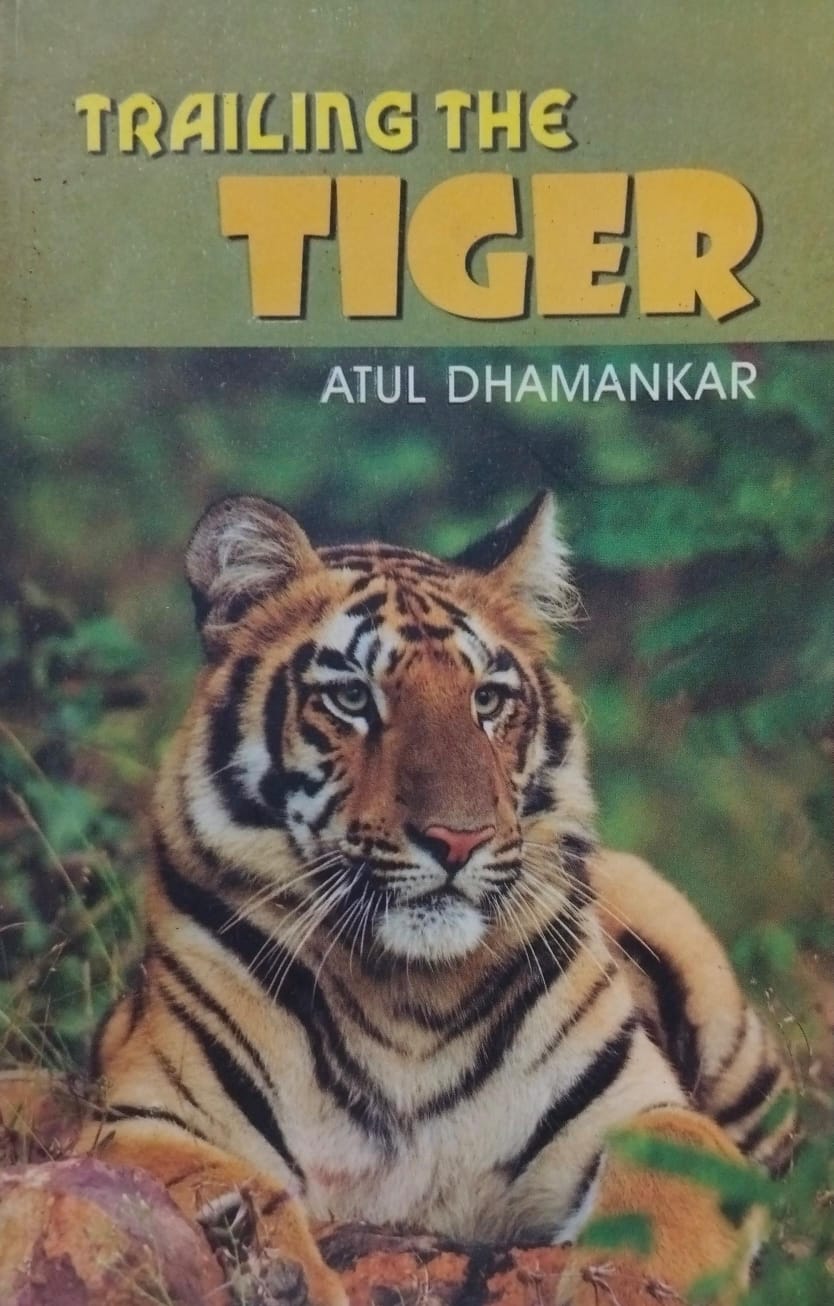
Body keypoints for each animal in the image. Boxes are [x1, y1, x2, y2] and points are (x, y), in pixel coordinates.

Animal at [79, 492, 797, 1306]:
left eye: (486, 700)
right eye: (352, 697)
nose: (458, 839)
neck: (407, 1001)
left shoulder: (648, 1111)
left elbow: (660, 1212)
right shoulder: (139, 1120)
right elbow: (233, 1188)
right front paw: (283, 1276)